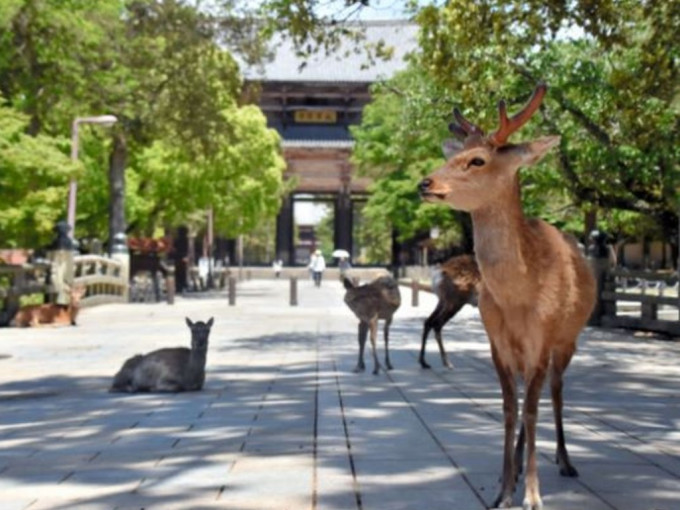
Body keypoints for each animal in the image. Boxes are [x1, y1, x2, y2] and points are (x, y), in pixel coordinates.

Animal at [418, 81, 596, 508]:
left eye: (477, 160)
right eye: (452, 155)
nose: (425, 183)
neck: (518, 298)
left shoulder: (542, 339)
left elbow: (531, 411)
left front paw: (533, 496)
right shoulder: (497, 342)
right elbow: (509, 409)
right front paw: (503, 491)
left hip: (568, 339)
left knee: (555, 391)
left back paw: (565, 461)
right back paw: (514, 470)